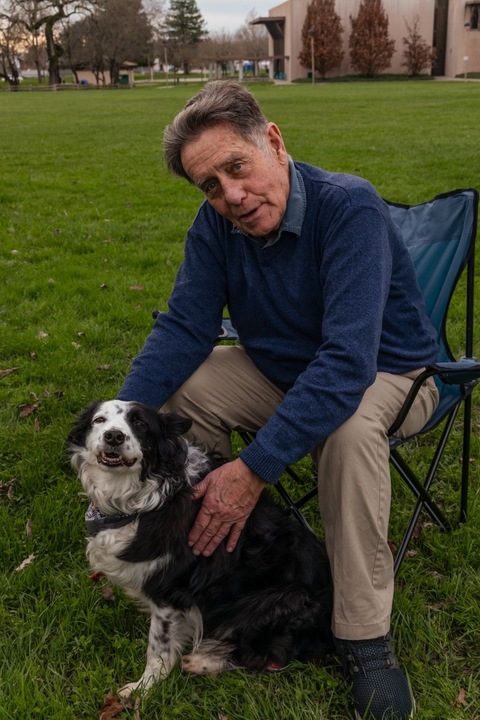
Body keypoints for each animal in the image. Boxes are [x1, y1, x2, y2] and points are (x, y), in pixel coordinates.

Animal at [69, 400, 334, 696]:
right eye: (99, 420)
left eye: (139, 424)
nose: (113, 436)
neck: (142, 498)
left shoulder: (169, 589)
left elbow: (158, 646)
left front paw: (143, 688)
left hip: (271, 601)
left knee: (268, 656)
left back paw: (203, 661)